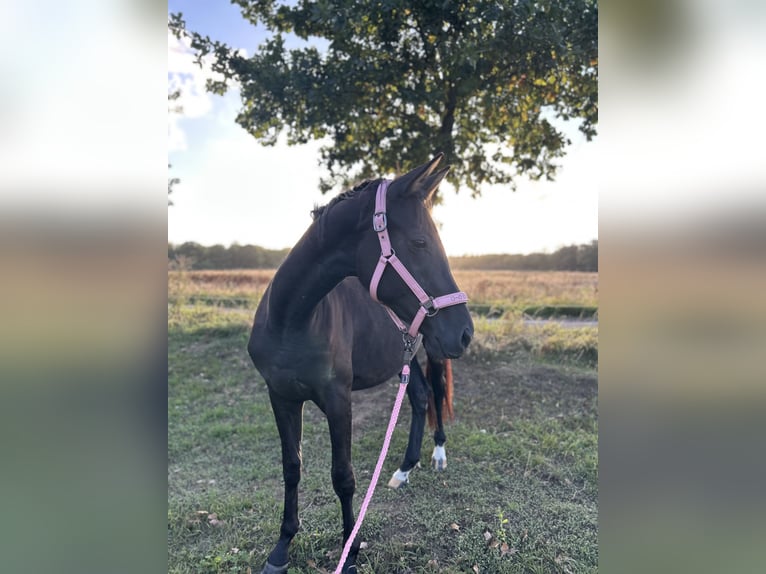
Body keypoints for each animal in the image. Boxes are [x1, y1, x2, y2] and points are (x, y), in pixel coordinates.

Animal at [247, 154, 474, 573]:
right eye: (419, 243)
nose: (465, 332)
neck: (292, 319)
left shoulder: (339, 400)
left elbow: (344, 477)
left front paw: (349, 554)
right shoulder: (281, 397)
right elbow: (291, 467)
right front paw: (282, 546)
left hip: (433, 351)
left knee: (436, 394)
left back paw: (437, 455)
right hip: (407, 354)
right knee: (420, 398)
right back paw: (404, 469)